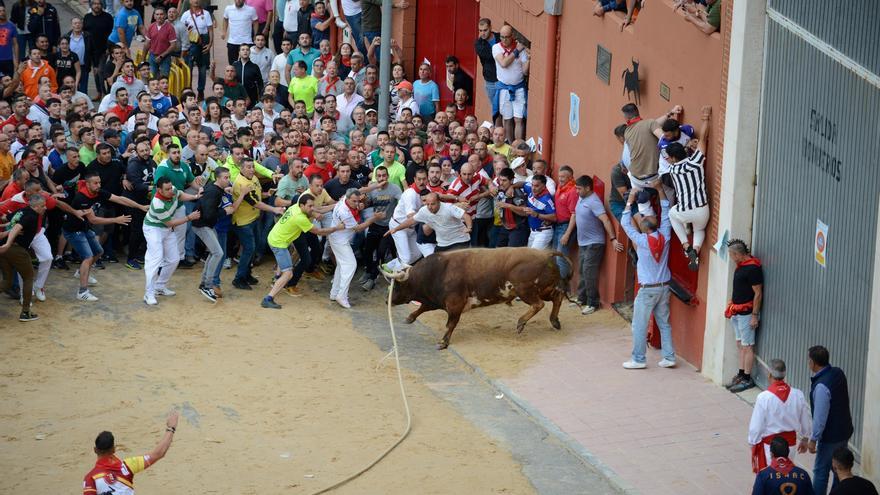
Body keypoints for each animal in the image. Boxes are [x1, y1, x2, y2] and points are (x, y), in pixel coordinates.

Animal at [386, 248, 572, 348]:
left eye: (397, 286)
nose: (387, 300)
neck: (437, 271)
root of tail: (546, 253)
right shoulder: (436, 300)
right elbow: (422, 307)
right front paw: (409, 318)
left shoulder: (454, 304)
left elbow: (450, 323)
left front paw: (443, 342)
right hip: (545, 289)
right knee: (557, 297)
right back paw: (554, 321)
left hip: (525, 290)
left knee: (538, 304)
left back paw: (521, 323)